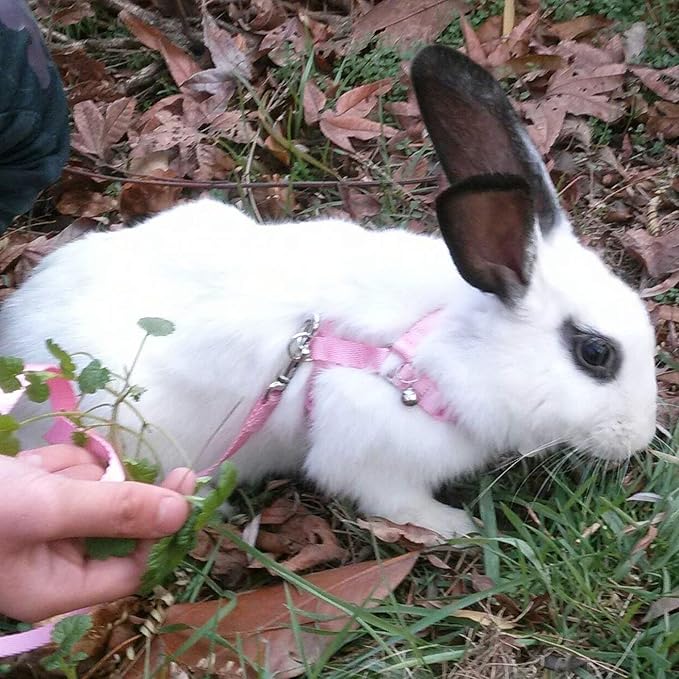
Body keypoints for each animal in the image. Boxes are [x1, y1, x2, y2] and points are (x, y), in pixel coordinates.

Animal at [0, 46, 657, 538]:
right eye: (595, 354)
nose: (641, 439)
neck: (438, 347)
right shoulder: (372, 453)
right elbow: (395, 501)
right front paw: (458, 527)